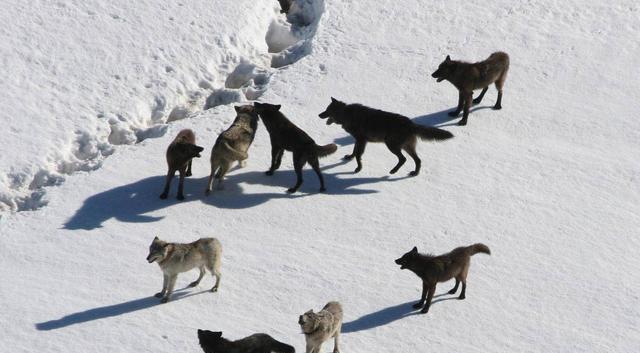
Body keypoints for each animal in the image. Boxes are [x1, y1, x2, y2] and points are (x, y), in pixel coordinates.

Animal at [318, 97, 452, 175]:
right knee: (417, 160)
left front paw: (358, 169)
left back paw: (393, 171)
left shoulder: (361, 140)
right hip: (407, 147)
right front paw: (349, 157)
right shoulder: (359, 140)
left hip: (391, 145)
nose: (319, 115)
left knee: (403, 159)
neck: (346, 114)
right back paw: (414, 173)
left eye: (327, 110)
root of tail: (411, 123)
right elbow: (355, 152)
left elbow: (358, 155)